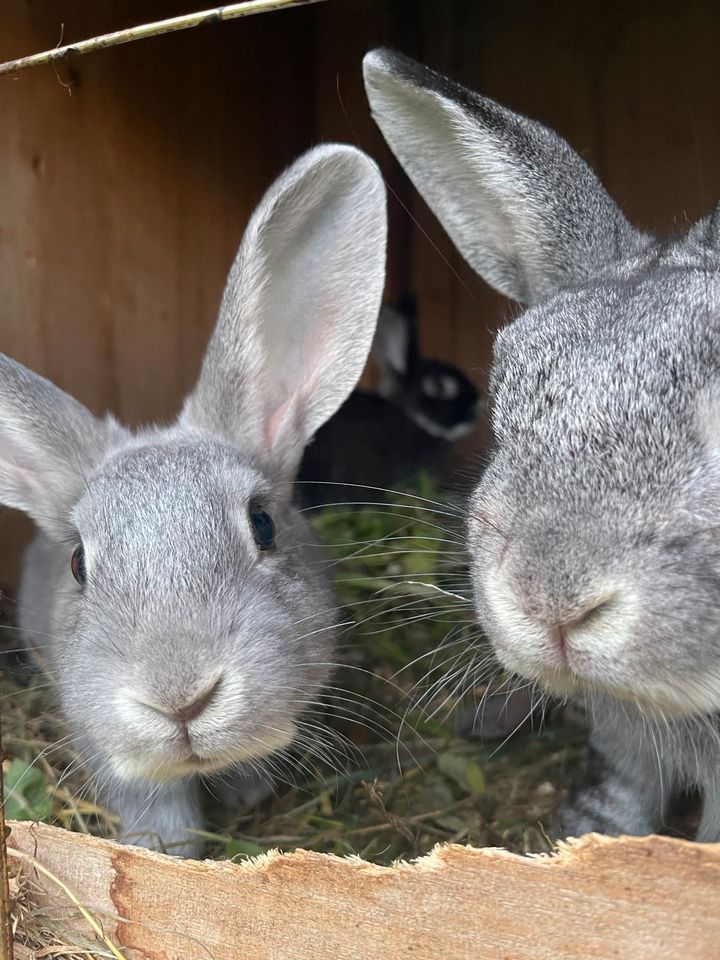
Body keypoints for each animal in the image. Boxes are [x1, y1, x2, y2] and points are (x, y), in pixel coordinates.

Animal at [0, 144, 388, 856]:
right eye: (78, 564)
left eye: (263, 524)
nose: (179, 699)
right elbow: (156, 802)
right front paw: (166, 850)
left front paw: (247, 794)